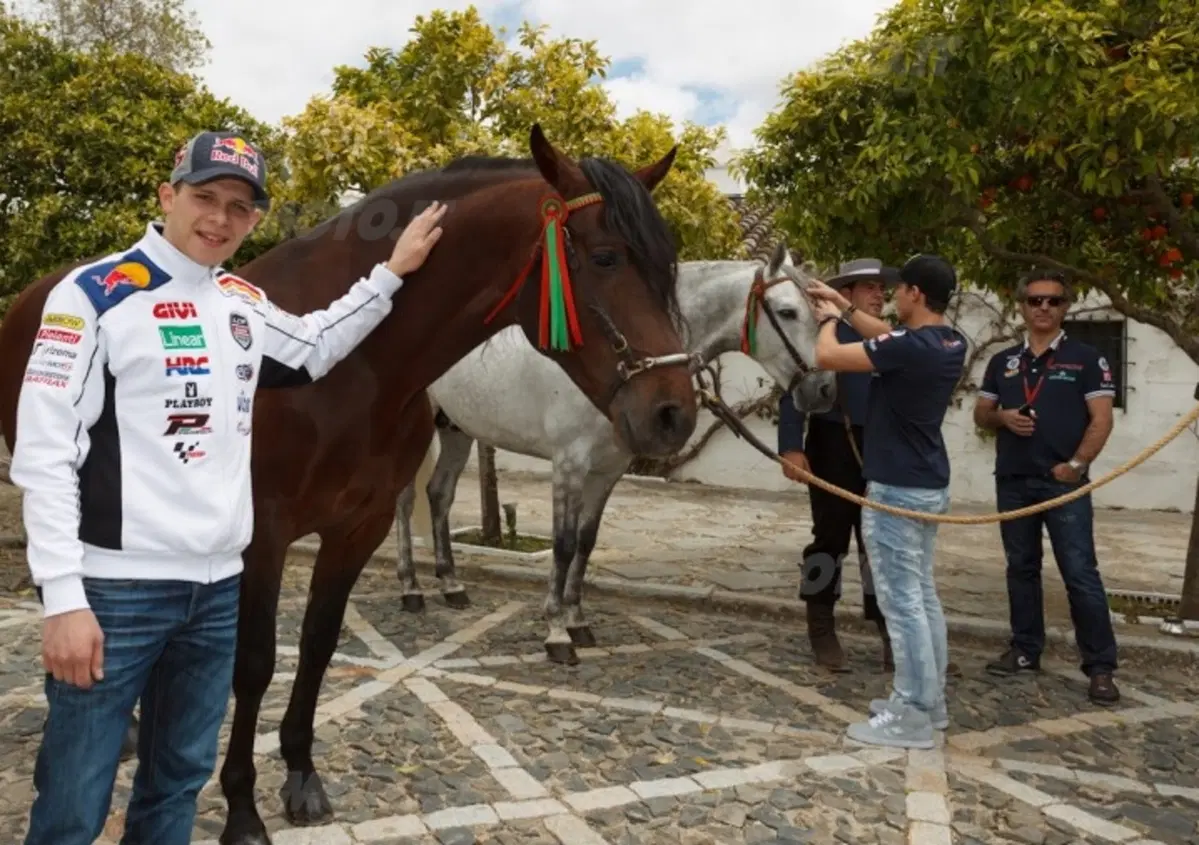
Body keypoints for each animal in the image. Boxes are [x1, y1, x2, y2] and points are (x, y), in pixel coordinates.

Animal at [393, 241, 837, 663]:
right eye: (787, 311)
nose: (824, 390)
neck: (625, 366)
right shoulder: (569, 463)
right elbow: (563, 544)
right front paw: (556, 632)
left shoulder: (609, 469)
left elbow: (586, 541)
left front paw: (577, 622)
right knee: (405, 498)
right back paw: (411, 588)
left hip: (456, 429)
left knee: (439, 494)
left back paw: (451, 585)